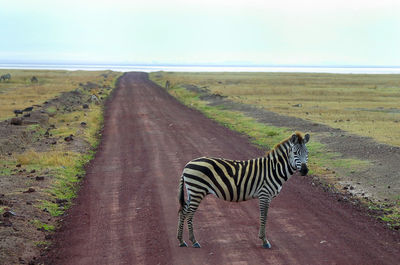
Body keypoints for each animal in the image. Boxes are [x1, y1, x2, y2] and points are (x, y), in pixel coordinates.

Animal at [177, 131, 310, 248]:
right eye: (295, 152)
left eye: (307, 153)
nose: (305, 171)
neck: (274, 170)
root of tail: (187, 165)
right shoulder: (264, 194)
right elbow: (264, 217)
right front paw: (264, 241)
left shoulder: (268, 197)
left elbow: (265, 216)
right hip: (197, 191)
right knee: (190, 214)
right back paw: (194, 241)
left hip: (192, 192)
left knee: (183, 212)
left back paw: (181, 241)